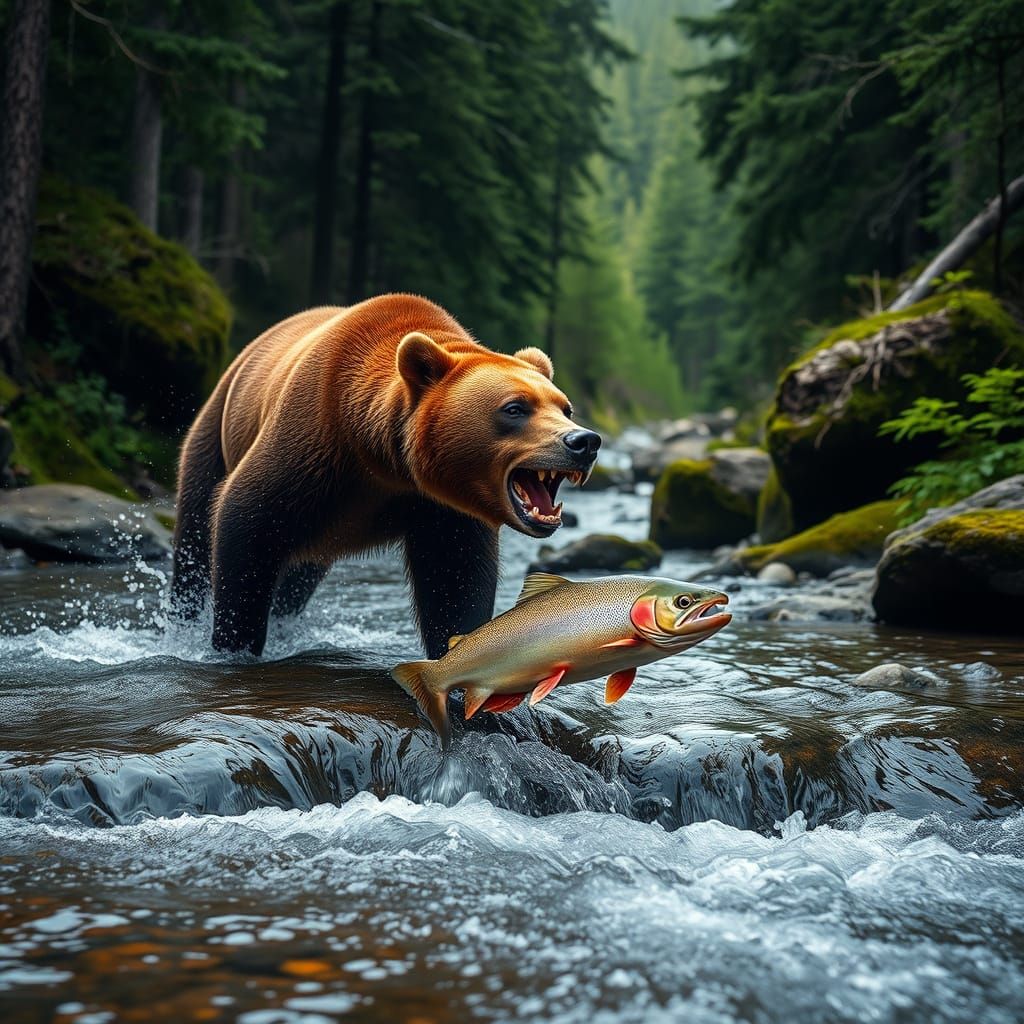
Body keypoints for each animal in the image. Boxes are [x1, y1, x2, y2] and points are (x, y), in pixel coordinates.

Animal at [170, 293, 601, 658]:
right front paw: (233, 644)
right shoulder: (311, 444)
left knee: (298, 576)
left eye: (565, 408)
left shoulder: (442, 506)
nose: (584, 441)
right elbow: (248, 523)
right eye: (514, 408)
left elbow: (455, 579)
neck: (380, 458)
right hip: (213, 431)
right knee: (194, 537)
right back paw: (184, 620)